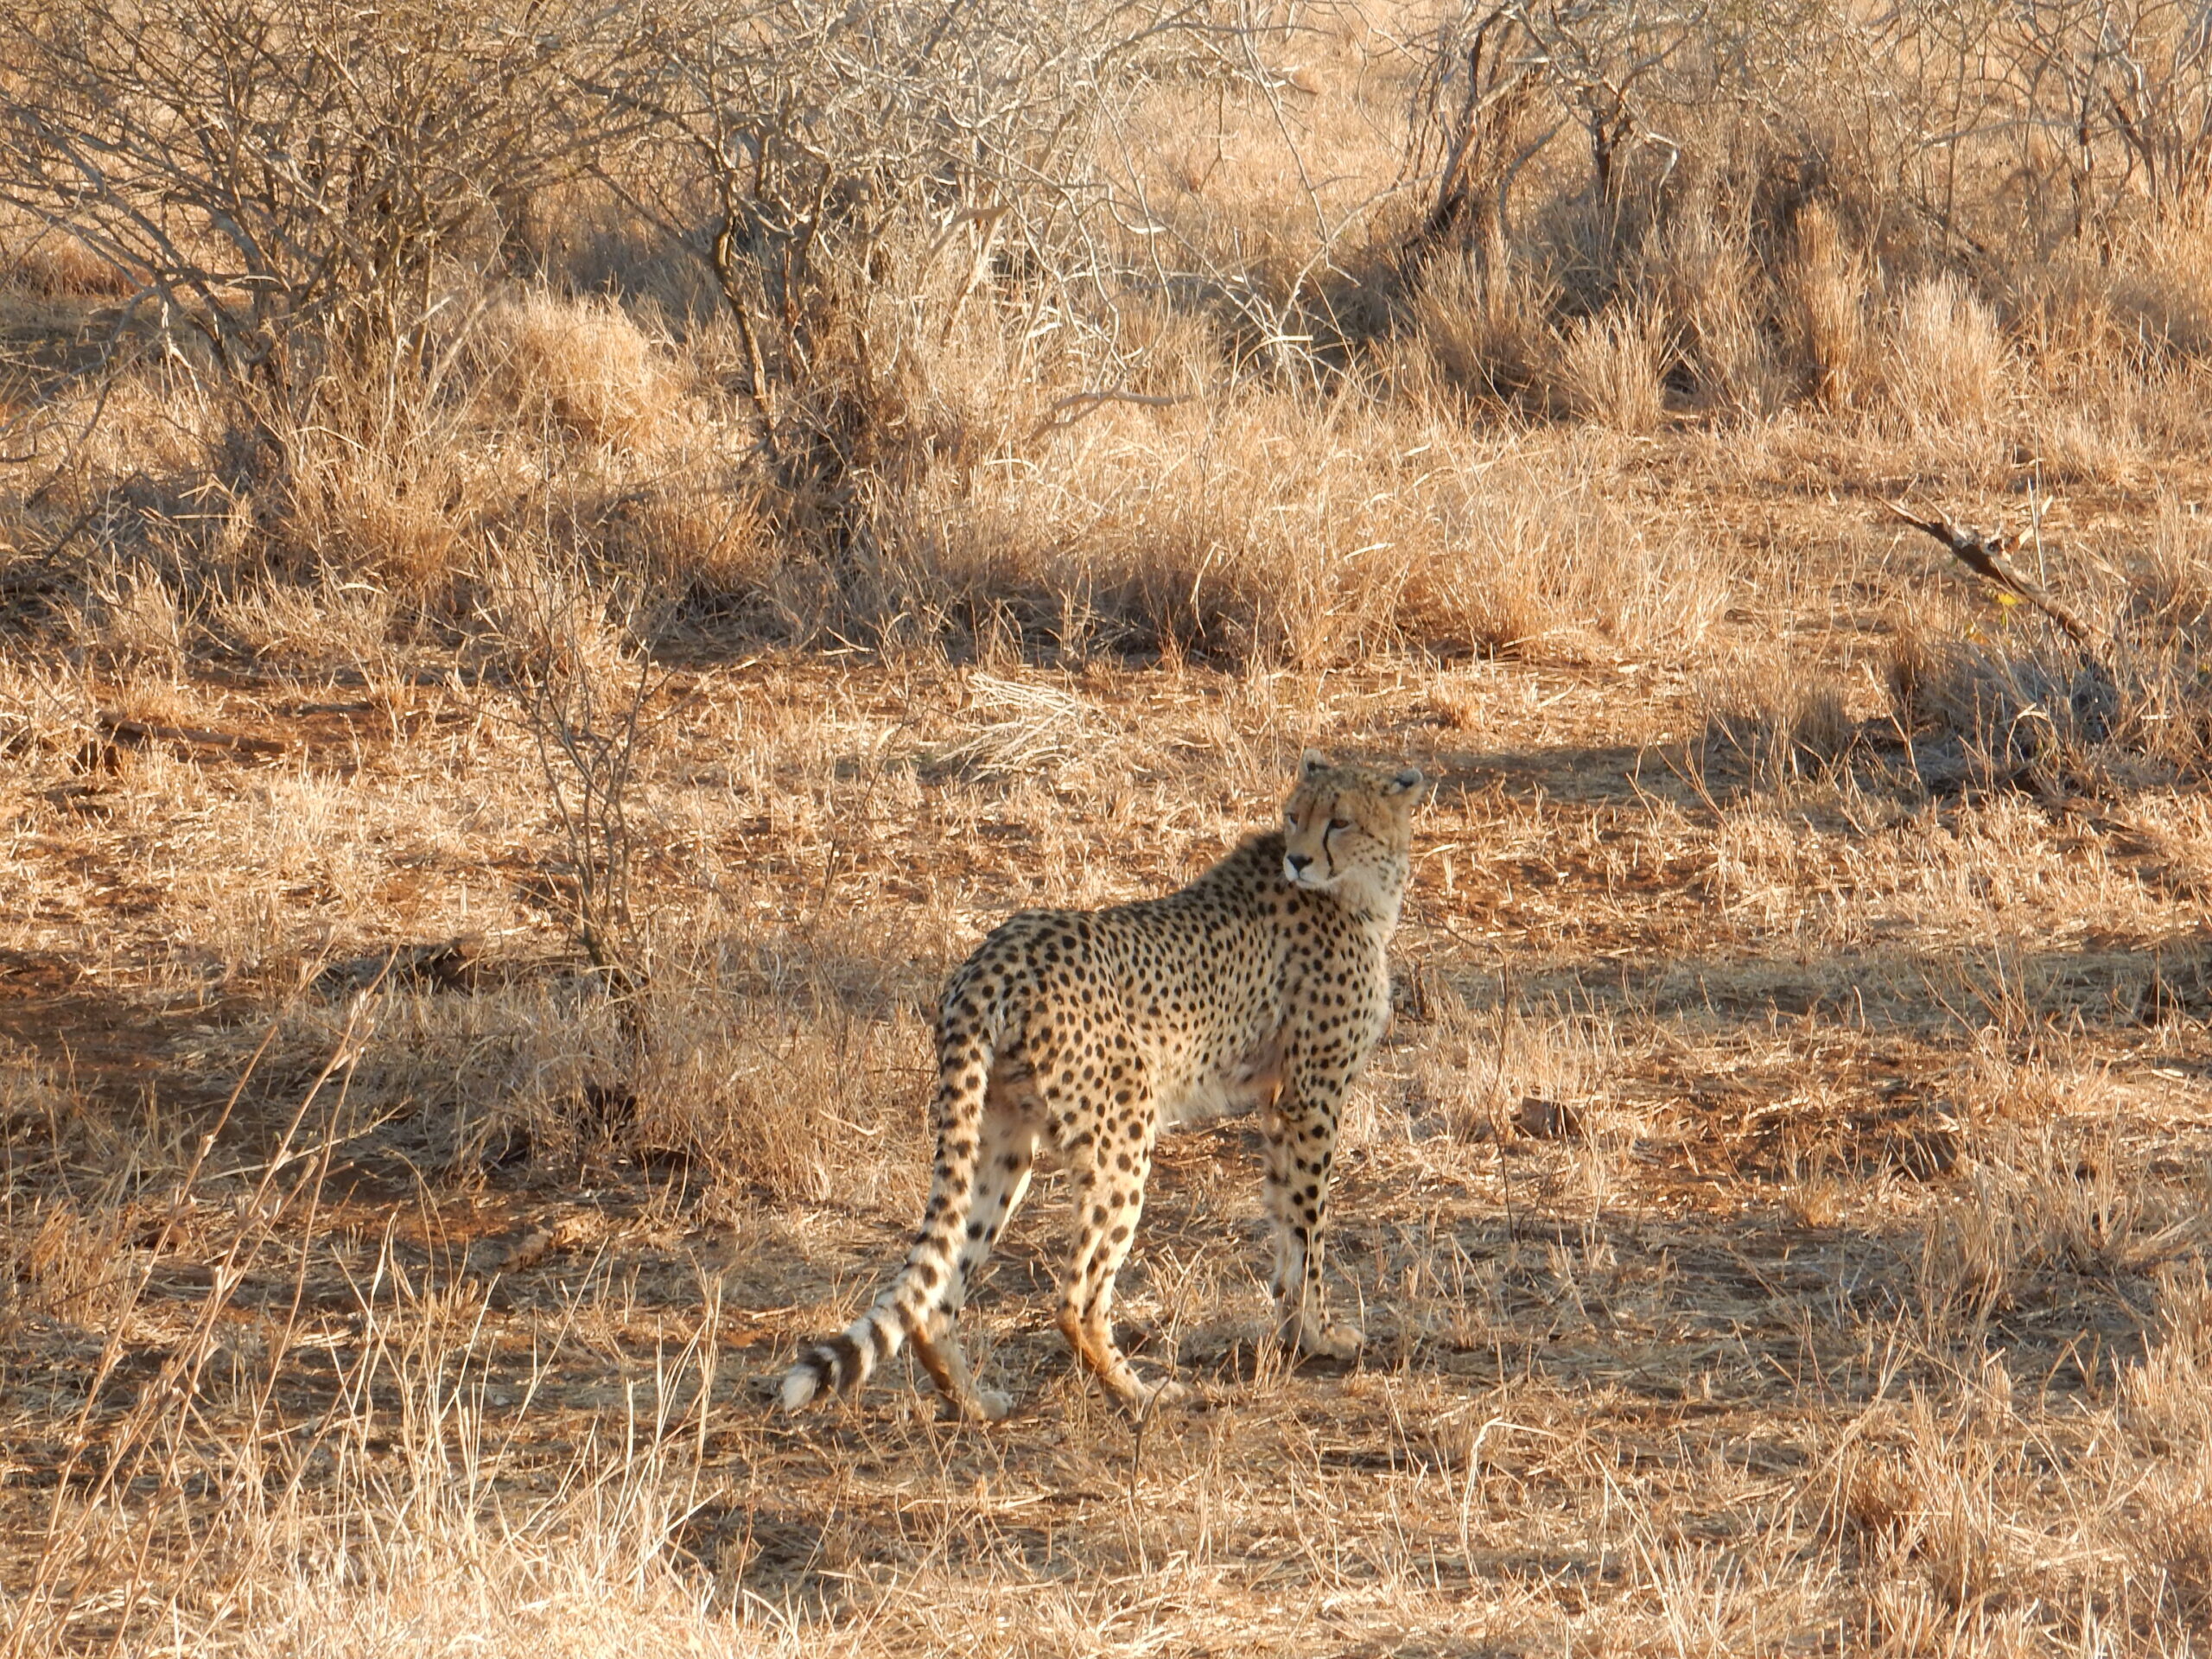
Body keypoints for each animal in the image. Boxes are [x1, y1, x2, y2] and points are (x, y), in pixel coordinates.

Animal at [778, 750, 1426, 1422]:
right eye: (1297, 816)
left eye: (1339, 821)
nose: (1297, 860)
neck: (1360, 889)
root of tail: (994, 953)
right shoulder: (1312, 1098)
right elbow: (1309, 1226)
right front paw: (1320, 1336)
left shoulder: (1280, 1104)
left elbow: (1284, 1218)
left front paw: (1298, 1330)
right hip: (1123, 1135)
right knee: (1075, 1297)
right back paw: (1140, 1392)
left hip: (1000, 1139)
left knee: (938, 1295)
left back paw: (976, 1402)